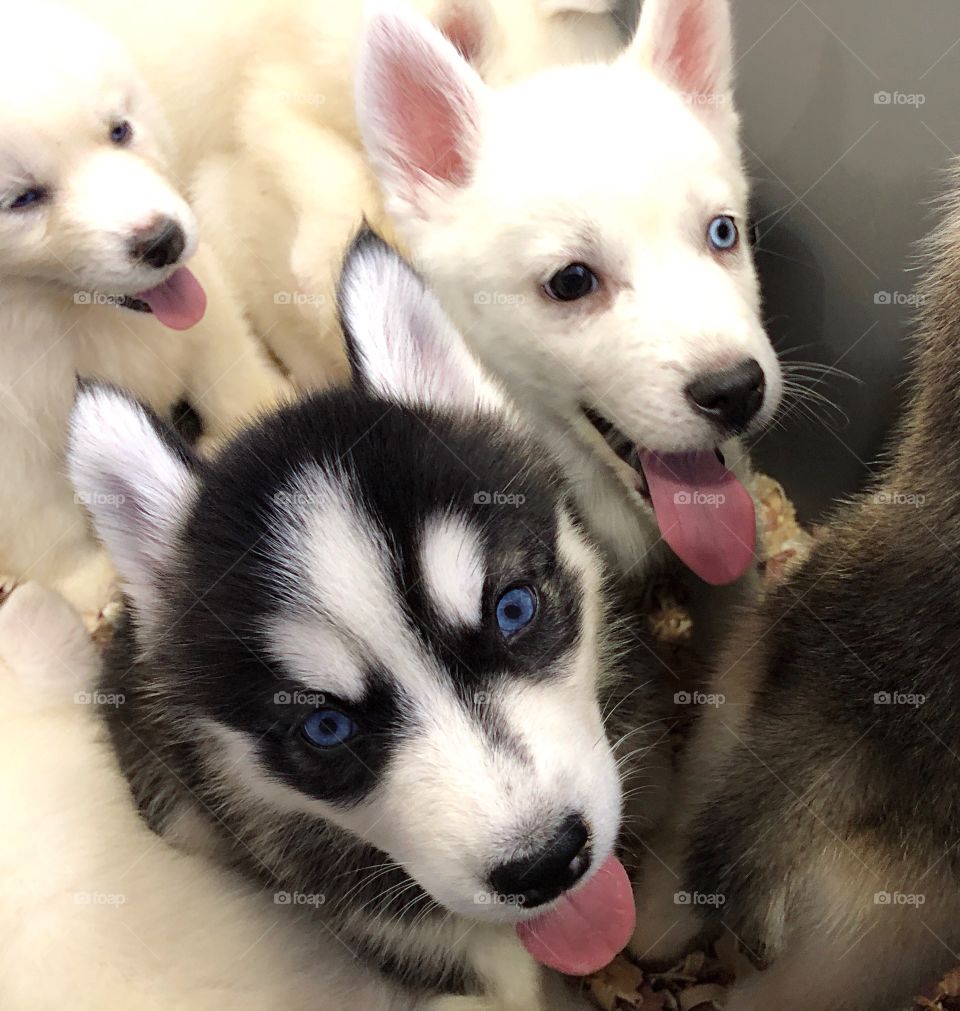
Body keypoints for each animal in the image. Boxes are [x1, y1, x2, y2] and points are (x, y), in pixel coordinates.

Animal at [0, 3, 286, 622]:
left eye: (119, 130)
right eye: (23, 198)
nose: (164, 241)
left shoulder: (205, 304)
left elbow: (227, 369)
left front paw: (258, 419)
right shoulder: (12, 431)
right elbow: (43, 521)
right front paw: (93, 588)